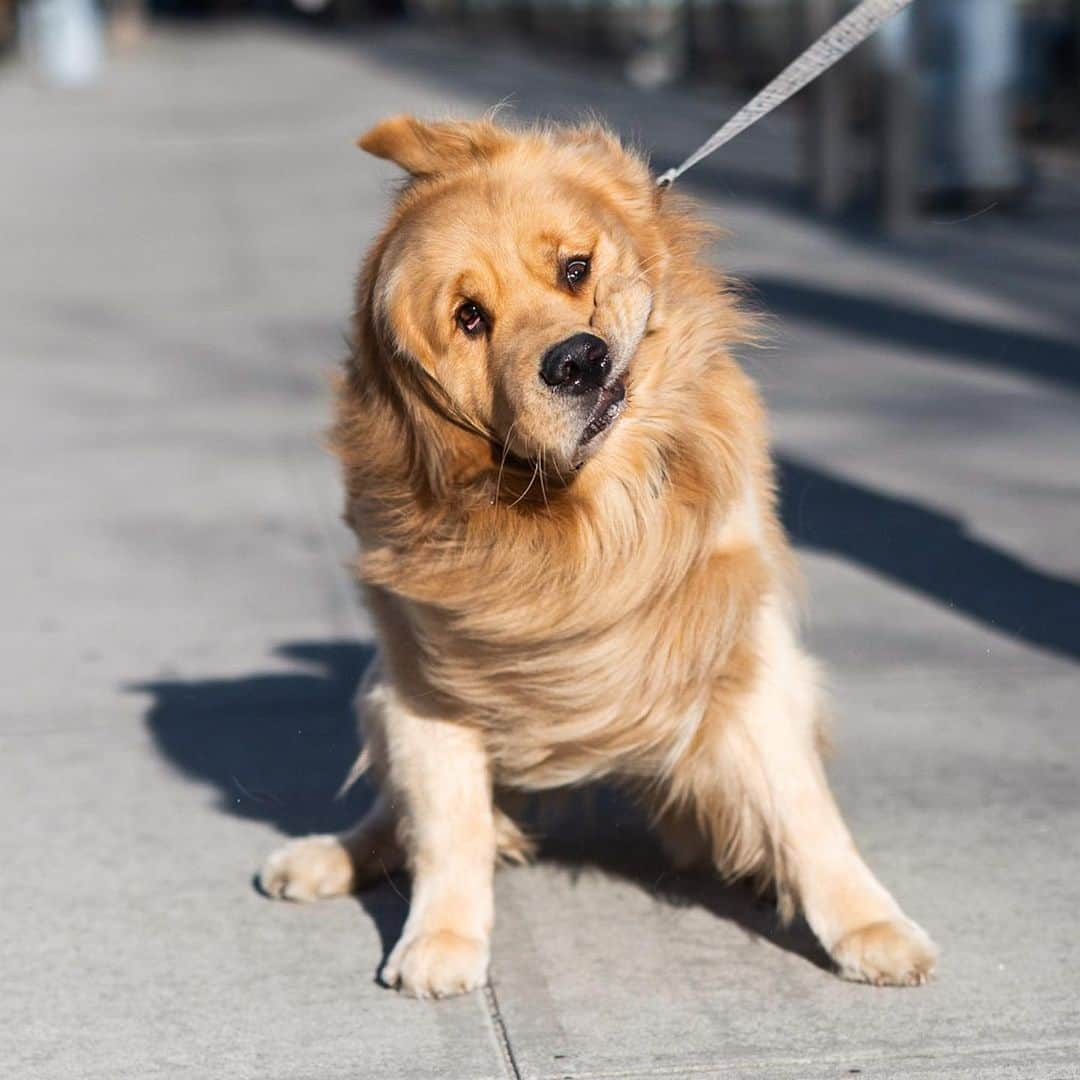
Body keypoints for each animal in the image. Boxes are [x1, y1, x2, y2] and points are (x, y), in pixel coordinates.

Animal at [259, 116, 937, 993]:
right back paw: (329, 858)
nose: (577, 361)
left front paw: (868, 925)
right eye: (469, 317)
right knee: (396, 815)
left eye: (575, 268)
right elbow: (447, 825)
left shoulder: (744, 654)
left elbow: (804, 812)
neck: (589, 519)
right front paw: (442, 938)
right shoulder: (424, 679)